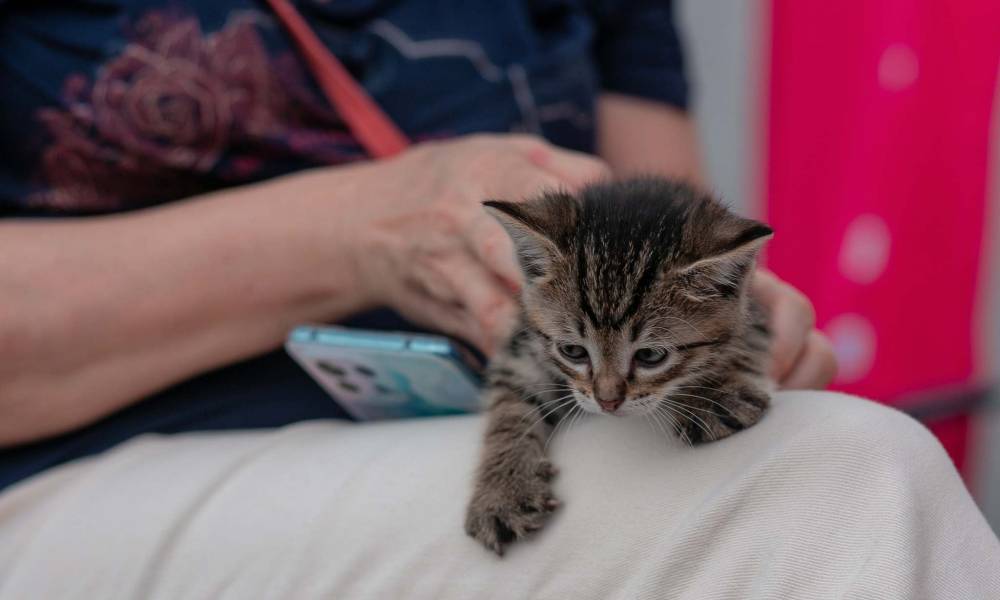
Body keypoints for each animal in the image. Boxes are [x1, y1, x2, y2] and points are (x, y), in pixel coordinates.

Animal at [464, 176, 776, 556]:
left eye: (651, 356)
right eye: (573, 351)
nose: (607, 401)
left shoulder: (753, 307)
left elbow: (746, 338)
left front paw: (715, 393)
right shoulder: (523, 346)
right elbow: (509, 406)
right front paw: (503, 491)